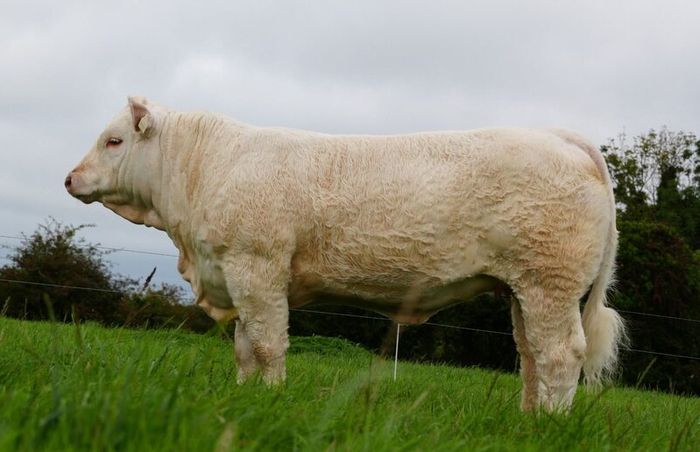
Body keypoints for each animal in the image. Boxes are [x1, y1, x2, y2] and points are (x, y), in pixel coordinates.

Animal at [65, 97, 625, 412]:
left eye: (113, 141)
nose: (70, 178)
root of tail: (560, 136)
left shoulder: (256, 267)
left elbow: (268, 344)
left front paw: (271, 399)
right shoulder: (238, 273)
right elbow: (244, 348)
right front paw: (245, 397)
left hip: (549, 281)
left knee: (560, 354)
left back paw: (550, 422)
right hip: (521, 288)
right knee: (530, 355)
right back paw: (527, 419)